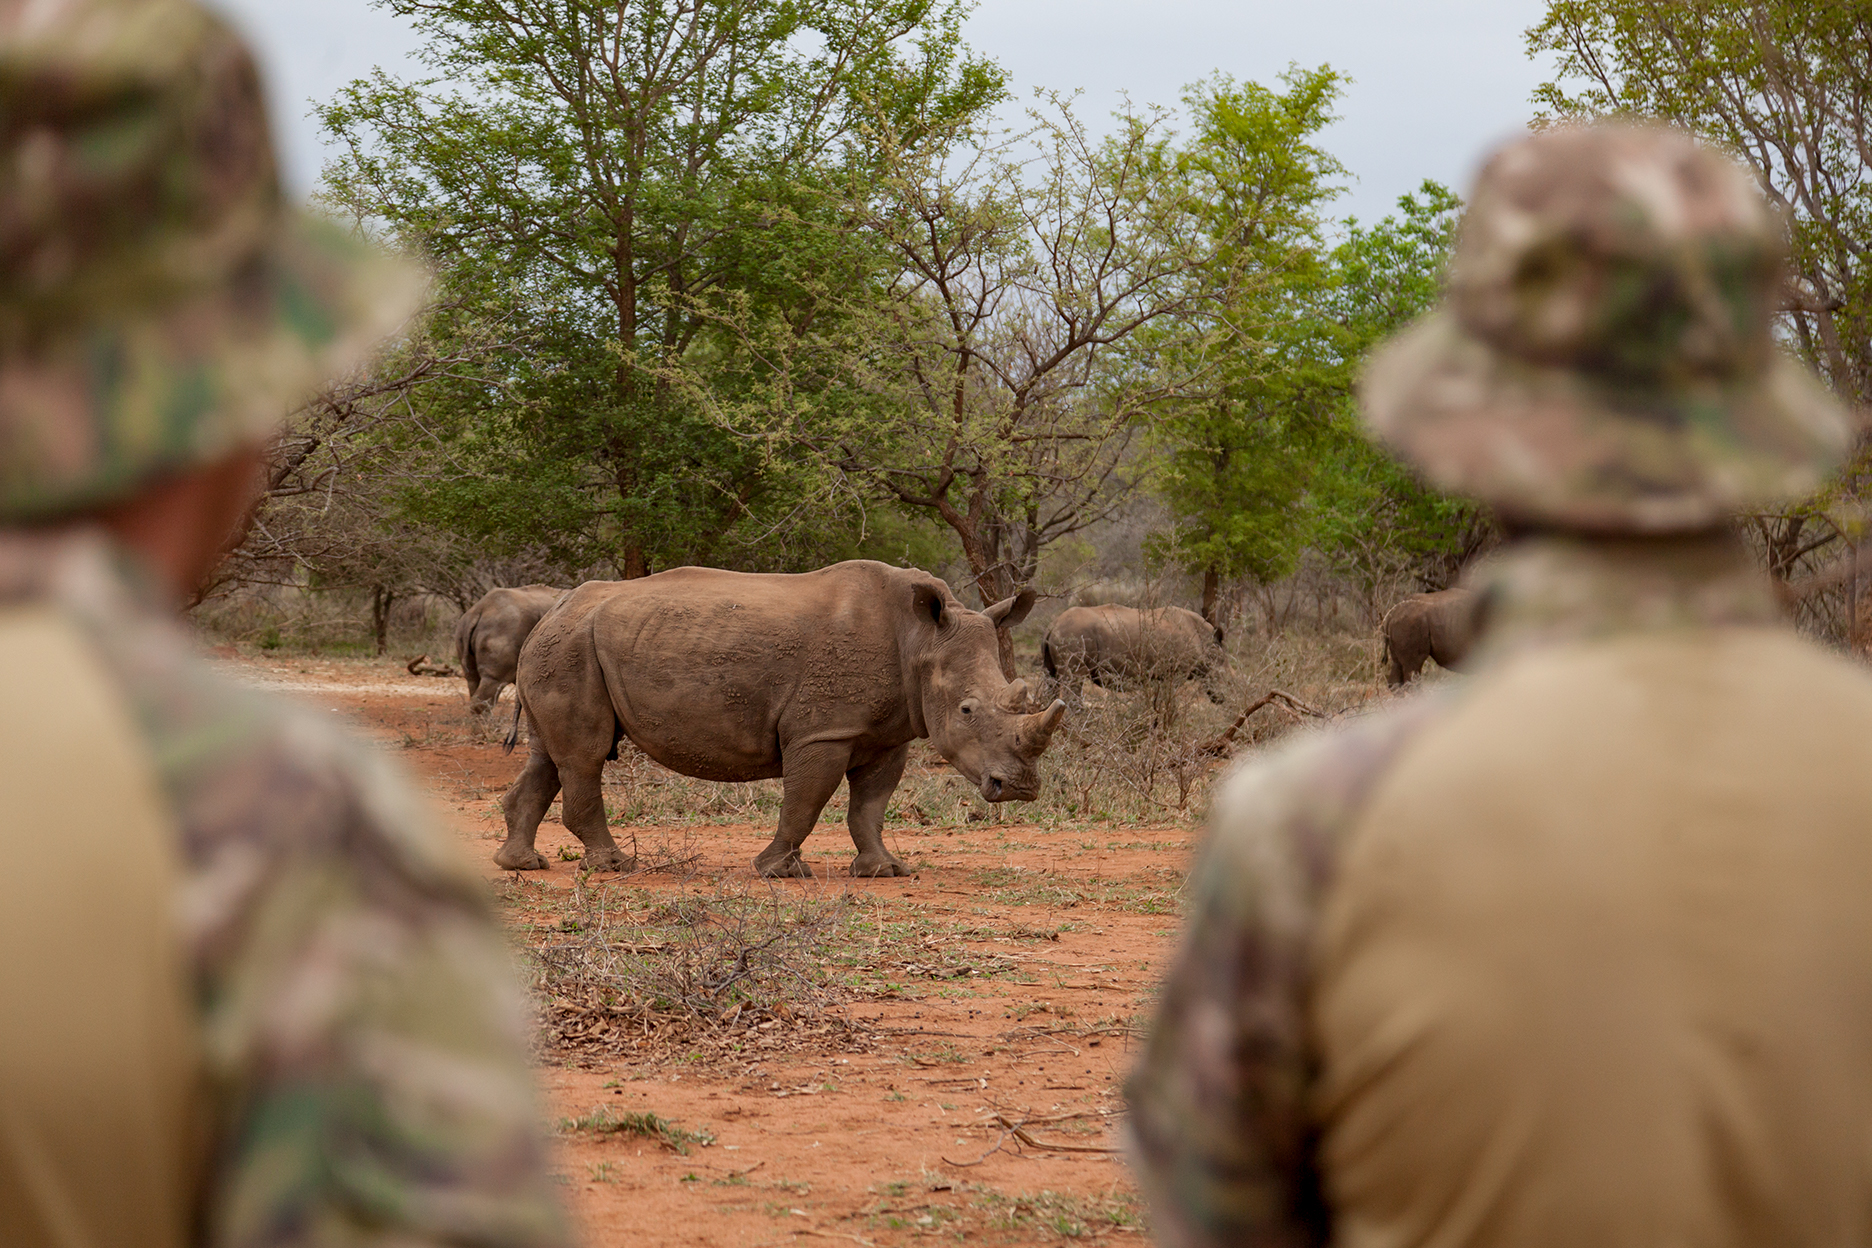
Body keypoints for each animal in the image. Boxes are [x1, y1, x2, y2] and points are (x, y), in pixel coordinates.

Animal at [493, 560, 1066, 878]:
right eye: (967, 711)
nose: (1020, 788)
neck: (921, 639)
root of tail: (554, 608)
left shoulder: (888, 733)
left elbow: (871, 807)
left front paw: (885, 871)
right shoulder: (823, 730)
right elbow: (806, 801)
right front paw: (780, 872)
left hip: (564, 645)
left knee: (550, 757)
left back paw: (521, 865)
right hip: (573, 646)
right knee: (584, 756)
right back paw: (614, 866)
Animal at [1041, 604, 1229, 703]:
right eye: (1220, 669)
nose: (1222, 698)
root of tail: (1053, 625)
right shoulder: (1175, 673)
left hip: (1060, 639)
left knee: (1052, 681)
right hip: (1073, 636)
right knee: (1073, 680)